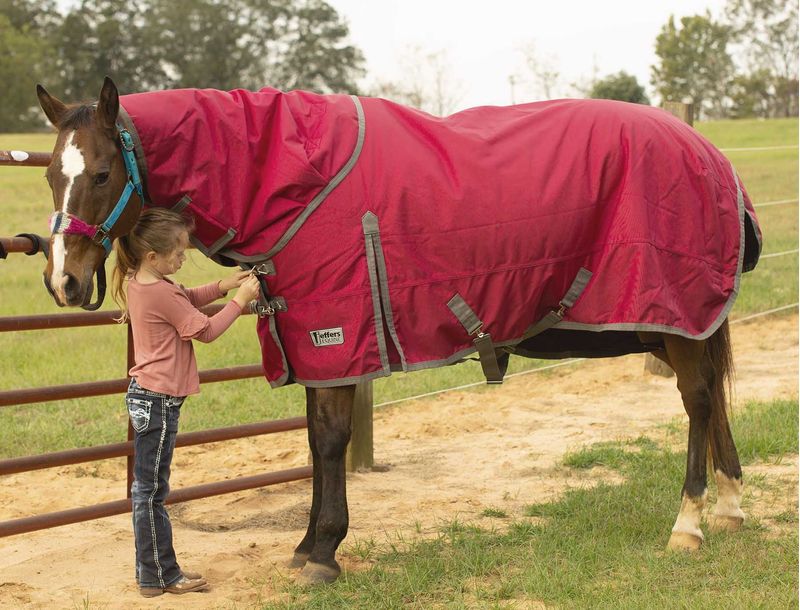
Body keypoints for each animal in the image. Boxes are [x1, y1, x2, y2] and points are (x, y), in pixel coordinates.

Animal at [37, 78, 764, 580]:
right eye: (49, 174)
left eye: (101, 172)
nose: (63, 281)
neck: (292, 177)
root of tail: (708, 151)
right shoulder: (312, 341)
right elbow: (314, 440)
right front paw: (309, 543)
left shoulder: (338, 336)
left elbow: (331, 440)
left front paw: (323, 552)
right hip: (687, 324)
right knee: (714, 400)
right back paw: (730, 509)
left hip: (678, 317)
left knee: (699, 402)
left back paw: (689, 522)